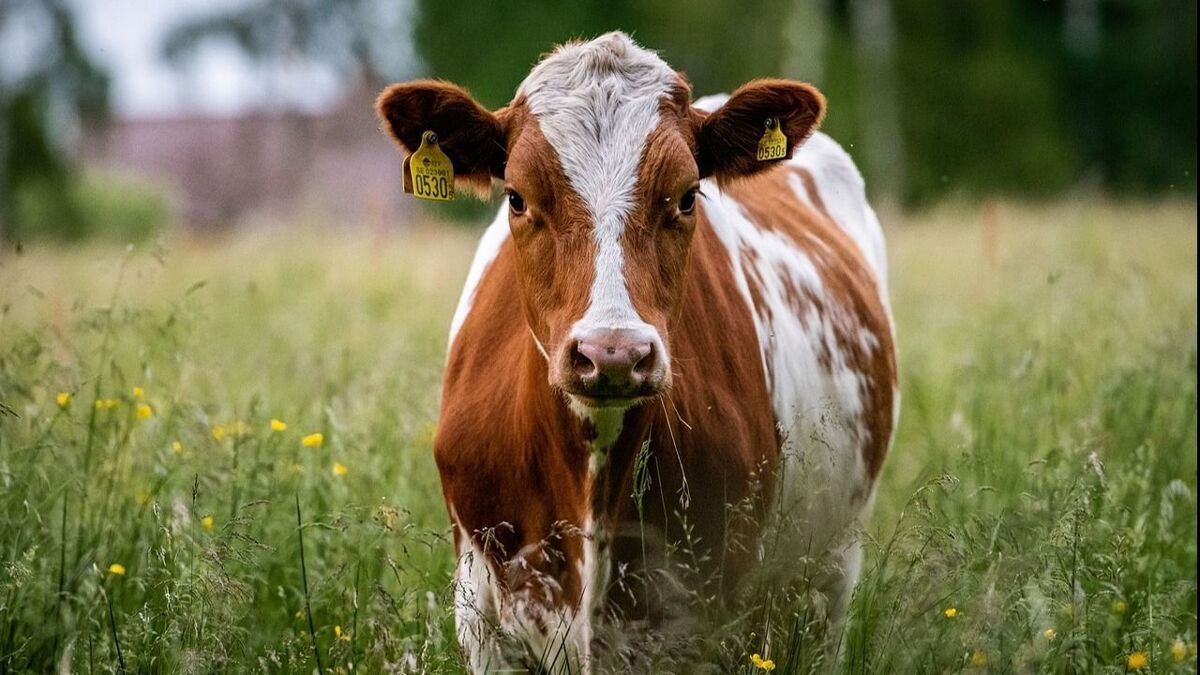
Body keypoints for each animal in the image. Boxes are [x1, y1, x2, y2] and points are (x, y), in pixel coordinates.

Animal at [376, 31, 898, 673]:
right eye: (517, 198)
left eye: (687, 196)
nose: (613, 354)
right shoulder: (483, 620)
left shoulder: (708, 623)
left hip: (830, 575)